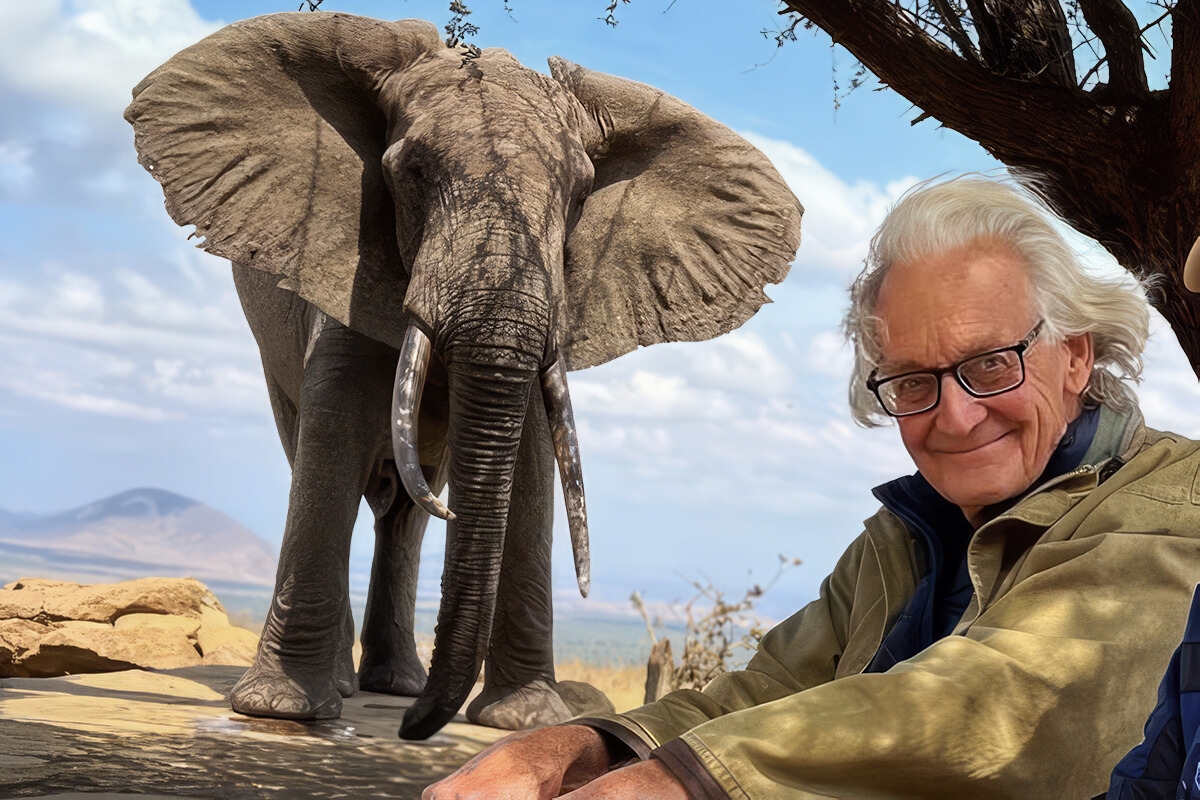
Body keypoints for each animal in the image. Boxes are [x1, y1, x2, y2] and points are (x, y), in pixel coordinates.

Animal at [124, 12, 802, 740]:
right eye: (411, 172)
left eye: (578, 193)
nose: (412, 730)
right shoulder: (340, 258)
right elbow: (334, 425)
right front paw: (281, 710)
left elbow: (530, 450)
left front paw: (524, 719)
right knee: (320, 454)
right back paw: (349, 686)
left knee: (406, 511)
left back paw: (395, 684)